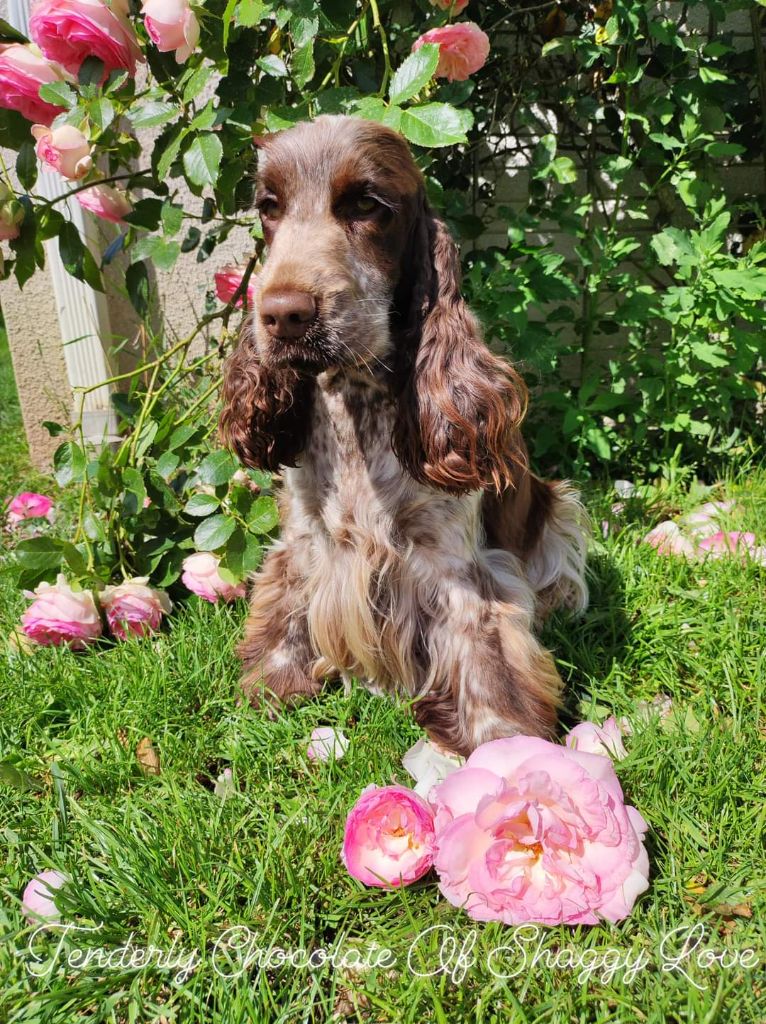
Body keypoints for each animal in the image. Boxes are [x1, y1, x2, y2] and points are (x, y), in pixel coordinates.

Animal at [218, 116, 589, 757]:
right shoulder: (305, 539)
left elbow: (484, 648)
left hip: (559, 507)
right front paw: (273, 680)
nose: (282, 314)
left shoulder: (454, 563)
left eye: (367, 203)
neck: (355, 408)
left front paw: (502, 739)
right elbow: (287, 609)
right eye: (269, 207)